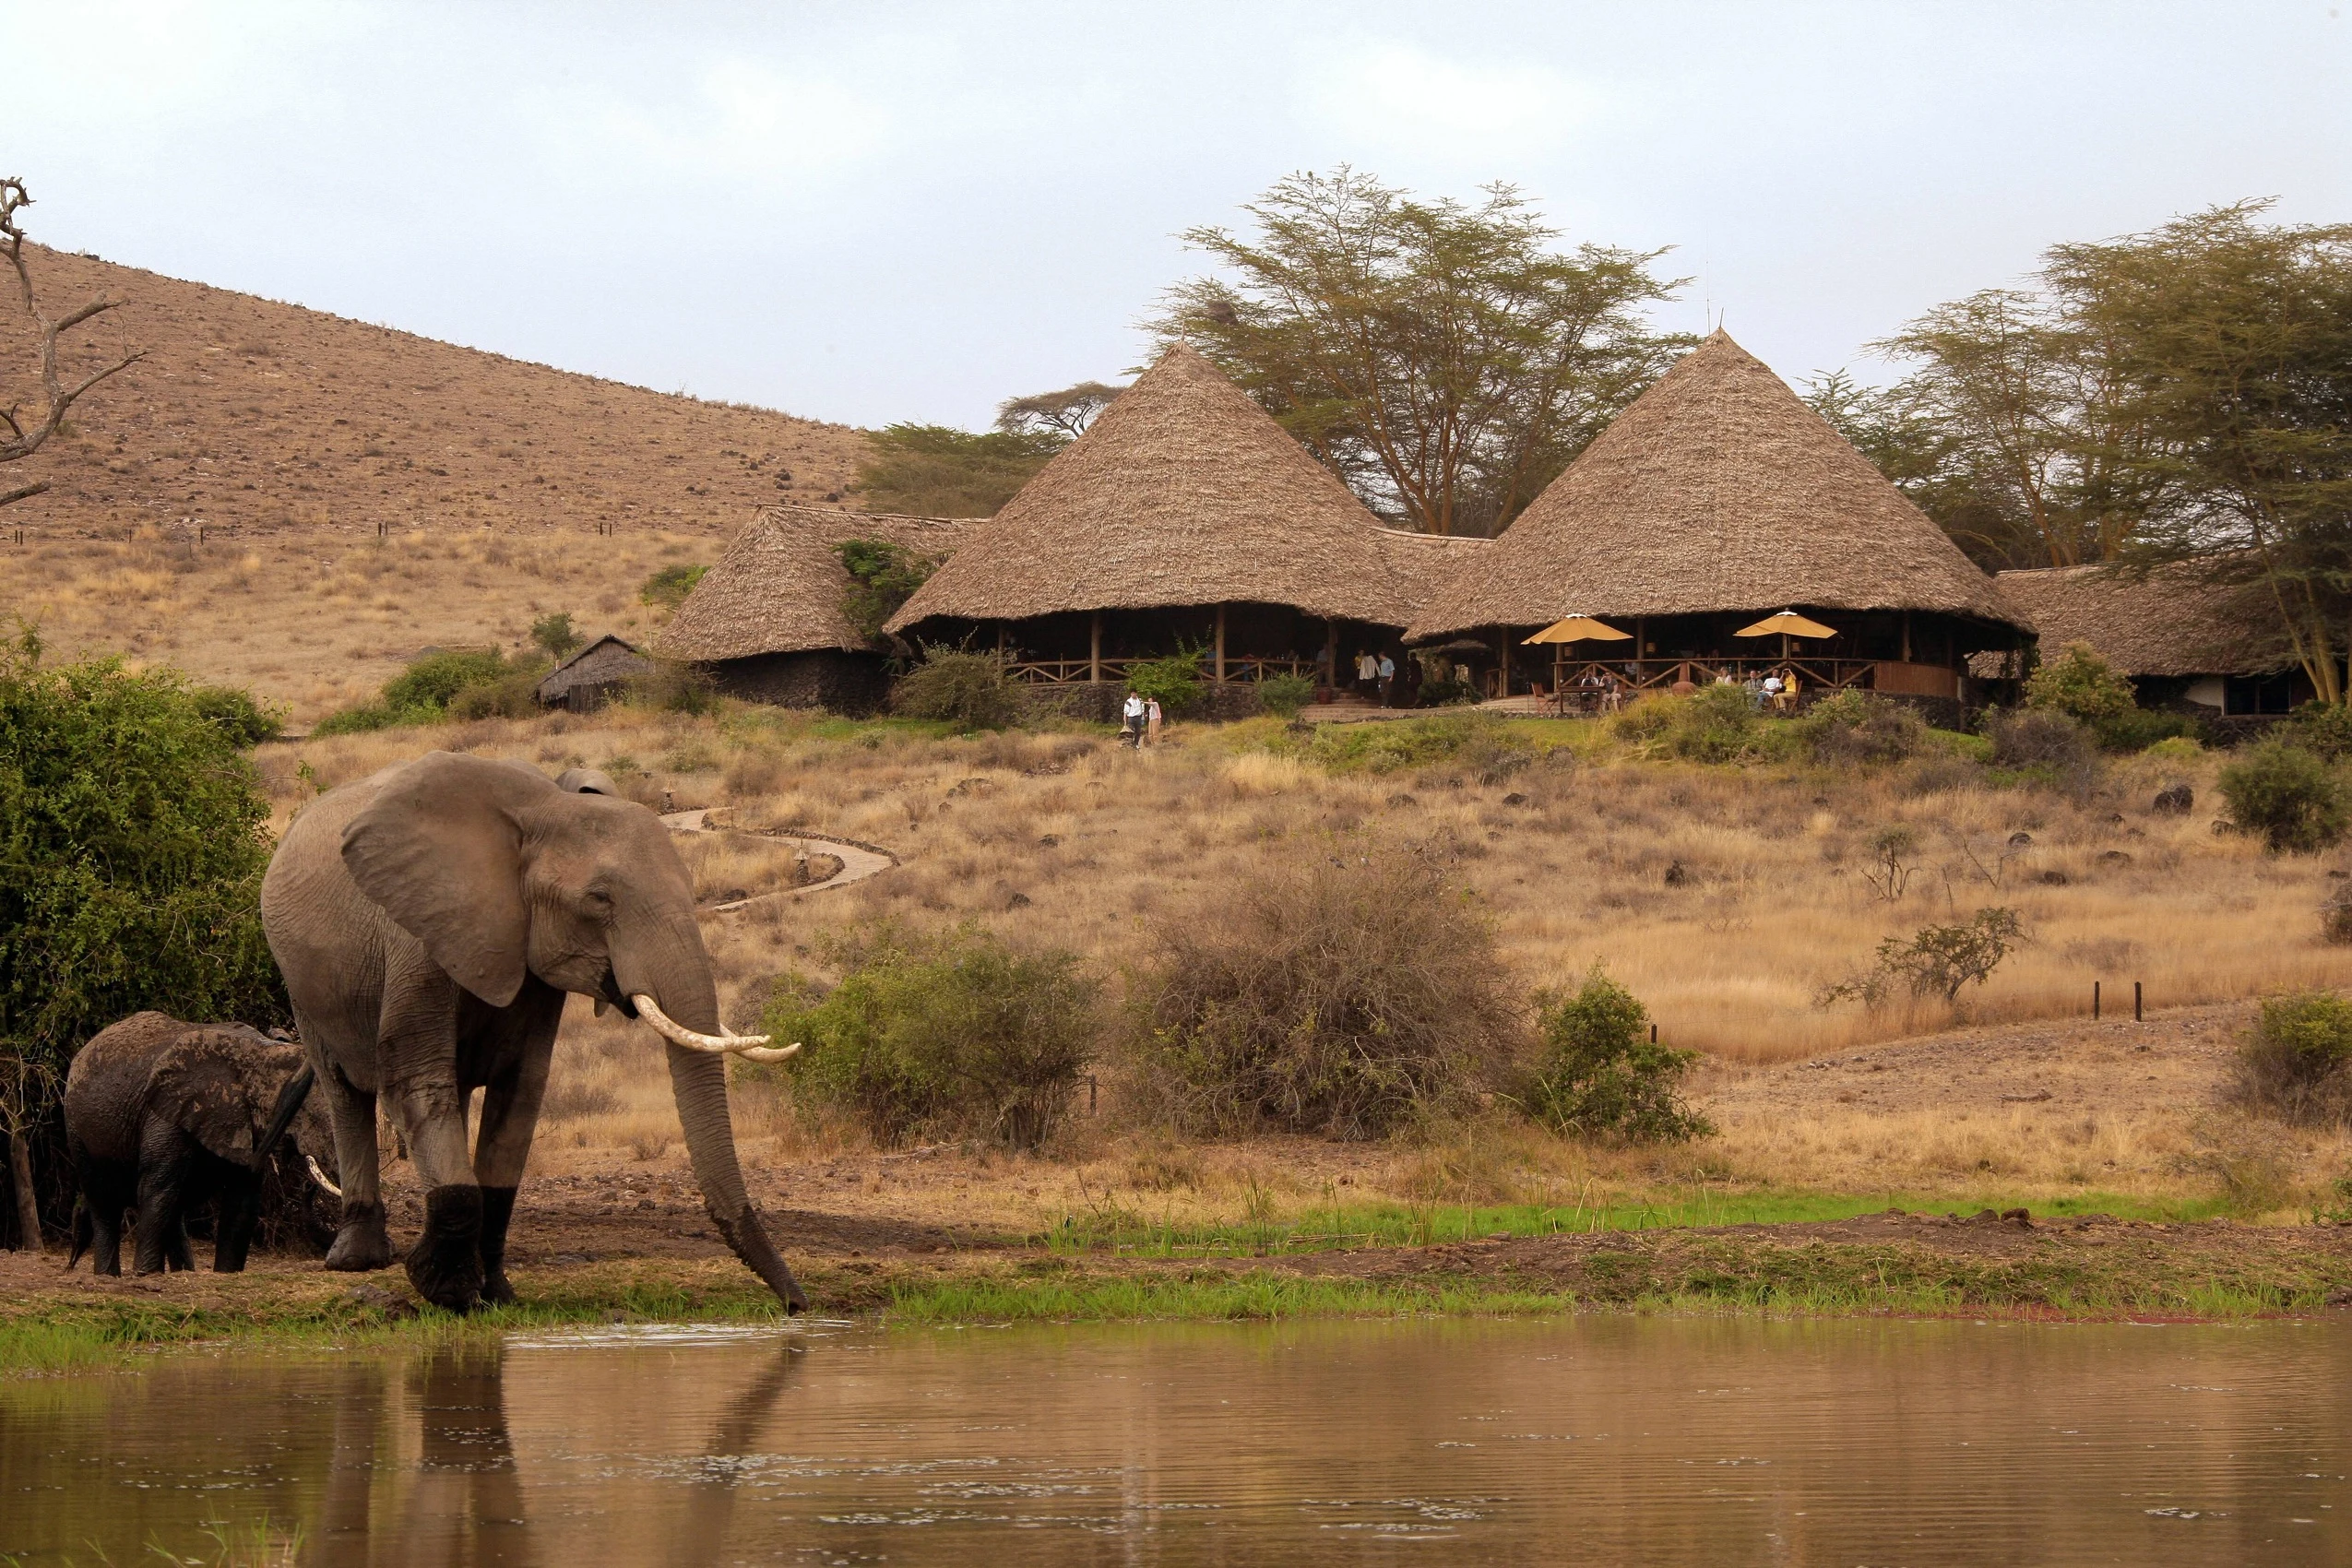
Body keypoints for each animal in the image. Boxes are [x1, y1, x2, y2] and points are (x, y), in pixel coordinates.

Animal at [63, 1011, 338, 1275]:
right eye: (309, 1114)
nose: (308, 1186)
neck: (261, 1052)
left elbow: (242, 1200)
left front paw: (226, 1273)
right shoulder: (168, 1114)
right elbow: (155, 1189)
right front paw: (144, 1274)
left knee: (172, 1207)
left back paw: (183, 1271)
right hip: (78, 1130)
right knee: (105, 1200)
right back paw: (108, 1275)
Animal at [259, 750, 804, 1313]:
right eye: (600, 899)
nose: (797, 1304)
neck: (543, 809)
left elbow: (519, 1093)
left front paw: (495, 1293)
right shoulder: (418, 936)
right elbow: (415, 1080)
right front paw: (446, 1290)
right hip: (301, 982)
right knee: (345, 1092)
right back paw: (358, 1260)